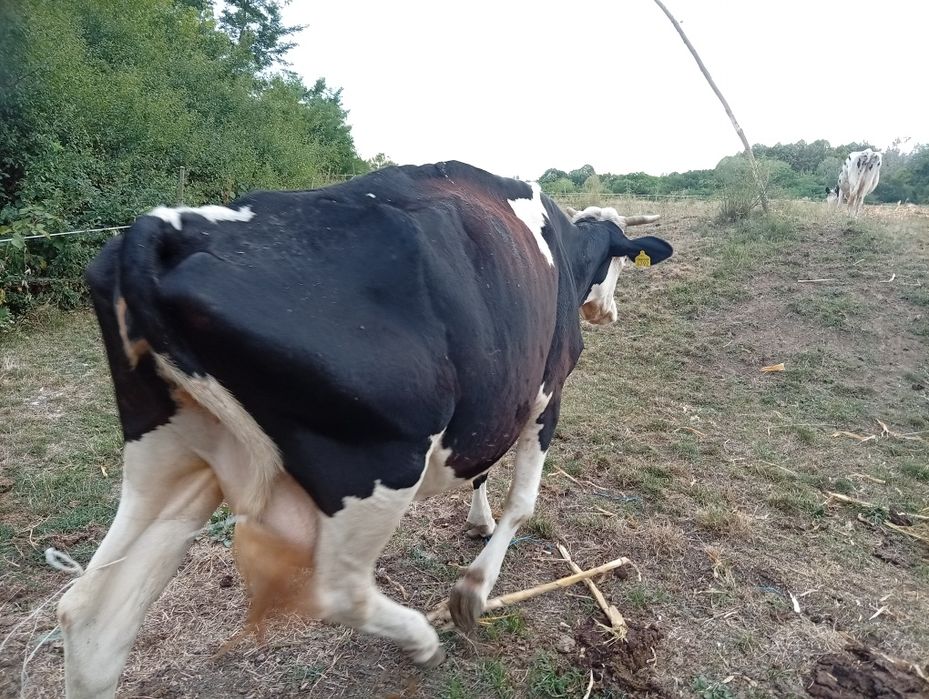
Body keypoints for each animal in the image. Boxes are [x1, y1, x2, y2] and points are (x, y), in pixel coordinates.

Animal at [56, 161, 672, 697]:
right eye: (620, 264)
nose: (607, 313)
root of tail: (165, 228)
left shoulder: (497, 400)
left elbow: (481, 473)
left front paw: (477, 521)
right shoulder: (545, 393)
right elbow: (522, 503)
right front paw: (474, 590)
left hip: (170, 454)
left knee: (91, 611)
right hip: (376, 461)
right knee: (340, 591)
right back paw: (421, 638)